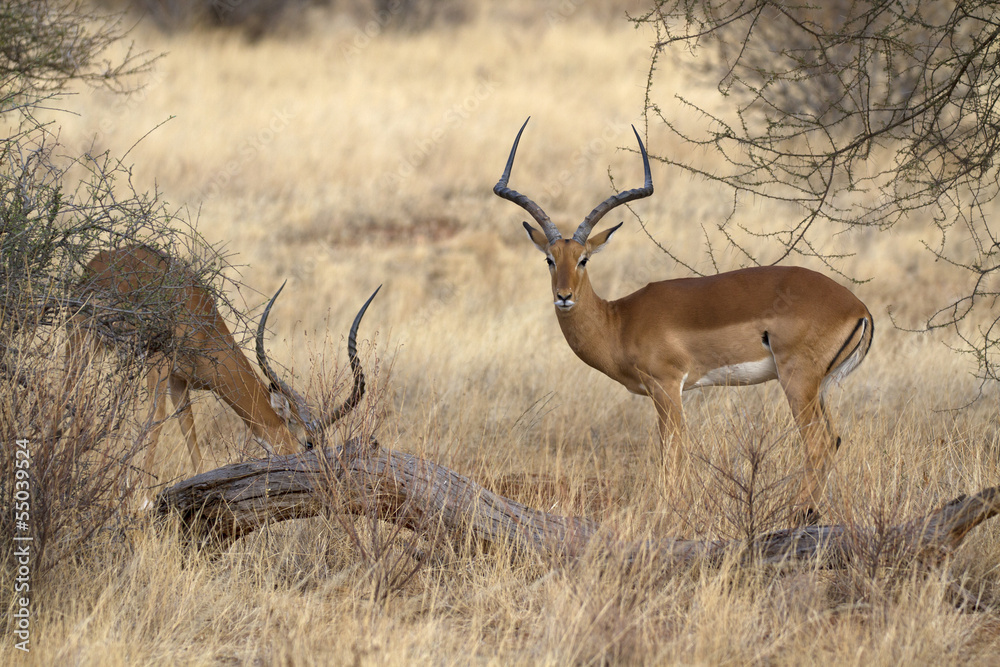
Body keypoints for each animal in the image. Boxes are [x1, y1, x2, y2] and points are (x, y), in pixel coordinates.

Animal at [66, 246, 378, 501]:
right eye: (308, 443)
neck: (204, 324)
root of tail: (101, 261)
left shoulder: (180, 381)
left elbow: (189, 434)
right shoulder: (159, 362)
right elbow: (154, 420)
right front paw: (139, 501)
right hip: (84, 338)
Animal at [494, 119, 873, 521]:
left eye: (584, 259)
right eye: (550, 259)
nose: (564, 296)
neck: (620, 320)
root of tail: (858, 307)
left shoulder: (667, 386)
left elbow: (673, 451)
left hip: (797, 381)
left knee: (818, 443)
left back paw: (801, 514)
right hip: (820, 387)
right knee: (833, 439)